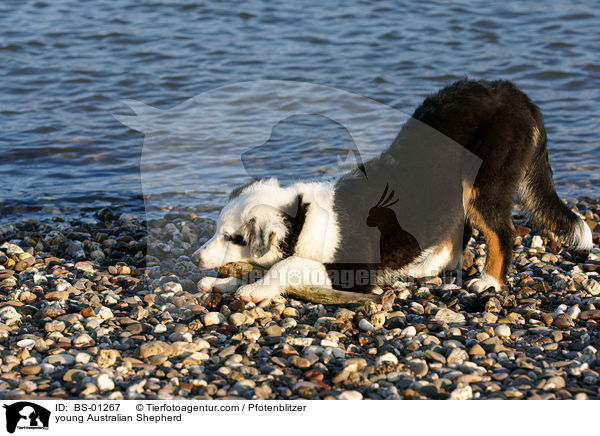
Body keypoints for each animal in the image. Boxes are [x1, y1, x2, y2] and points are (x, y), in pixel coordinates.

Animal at [192, 79, 592, 300]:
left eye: (232, 237)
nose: (195, 259)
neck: (304, 220)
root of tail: (516, 94)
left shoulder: (353, 269)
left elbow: (287, 265)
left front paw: (253, 291)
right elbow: (264, 265)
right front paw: (222, 284)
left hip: (484, 184)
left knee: (501, 232)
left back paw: (489, 282)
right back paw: (423, 268)